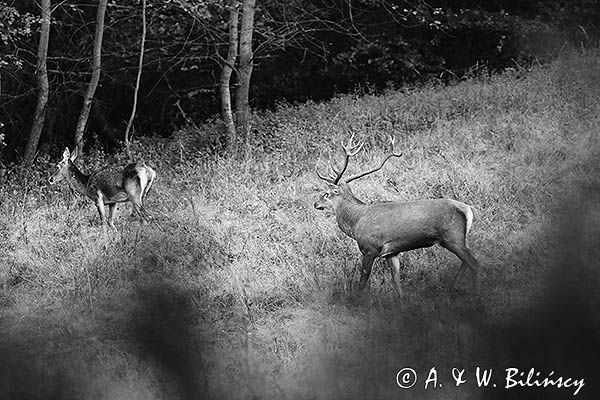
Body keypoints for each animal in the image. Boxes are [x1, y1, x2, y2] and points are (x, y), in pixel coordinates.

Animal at [316, 136, 480, 296]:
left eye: (327, 194)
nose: (315, 204)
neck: (356, 223)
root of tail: (468, 209)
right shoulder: (391, 252)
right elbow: (396, 282)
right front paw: (401, 302)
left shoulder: (369, 249)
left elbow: (362, 283)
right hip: (455, 239)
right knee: (468, 260)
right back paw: (451, 289)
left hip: (452, 236)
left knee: (474, 262)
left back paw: (476, 295)